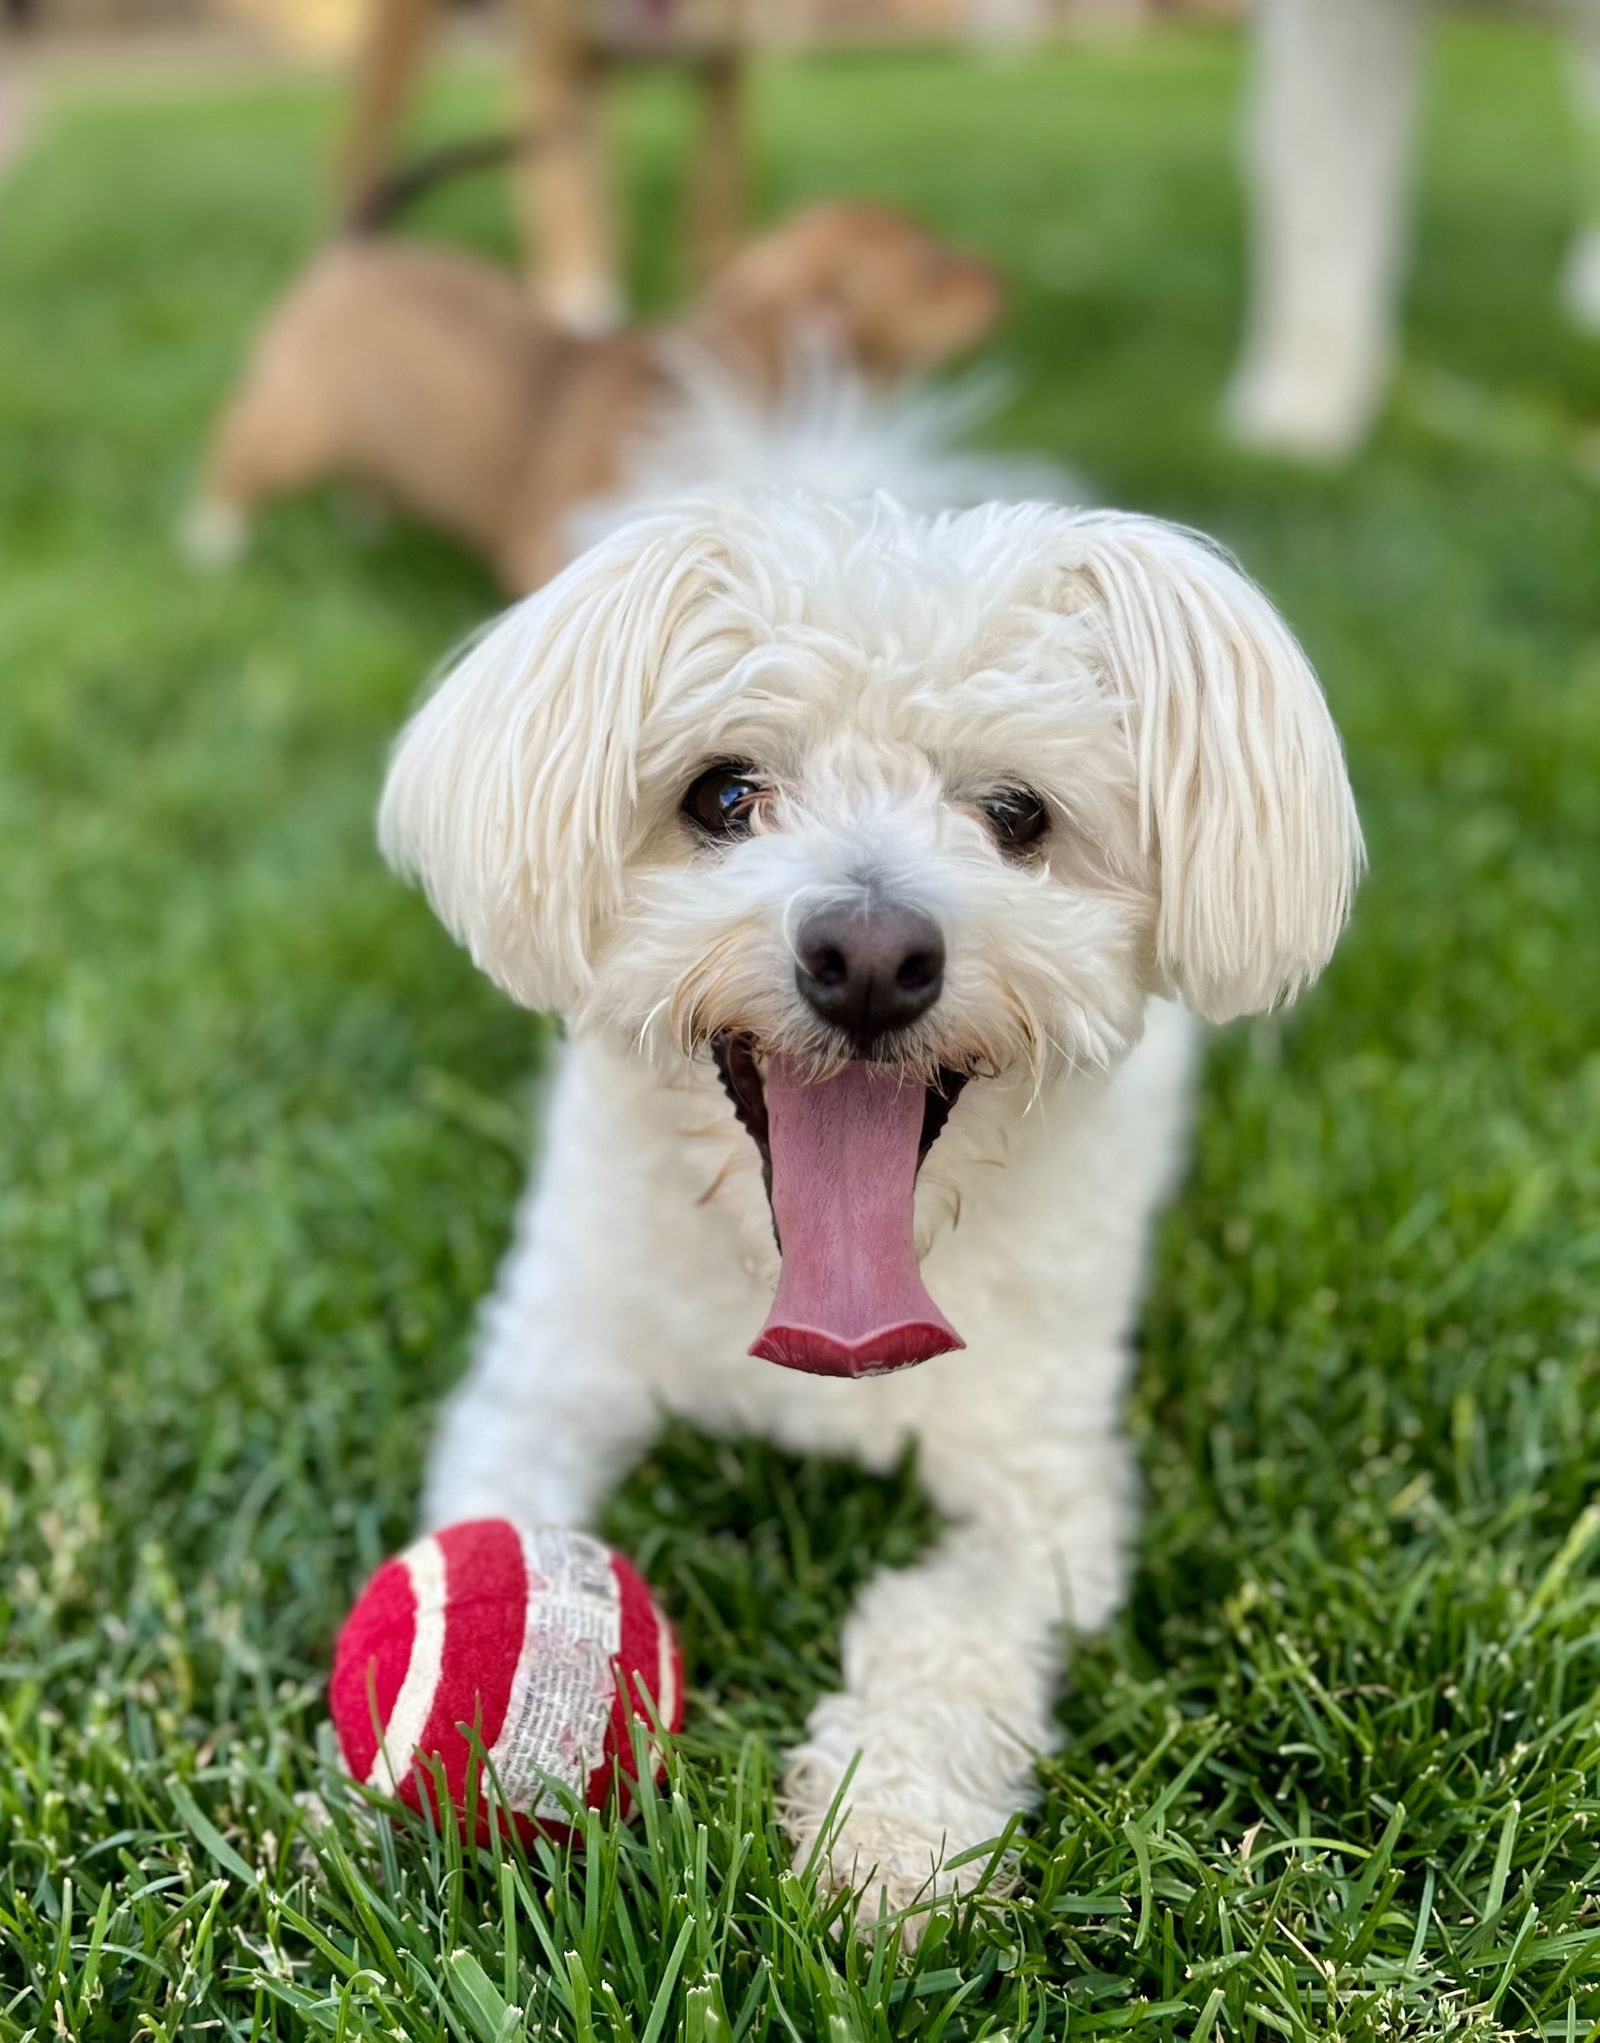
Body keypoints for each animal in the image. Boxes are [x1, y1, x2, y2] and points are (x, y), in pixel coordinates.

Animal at [187, 204, 1009, 596]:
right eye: (934, 268)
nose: (997, 276)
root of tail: (356, 243)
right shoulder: (551, 545)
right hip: (301, 424)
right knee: (235, 443)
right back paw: (215, 540)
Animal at [375, 486, 1365, 1920]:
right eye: (724, 794)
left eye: (1016, 813)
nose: (870, 954)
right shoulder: (546, 1381)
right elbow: (505, 1523)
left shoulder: (1041, 1500)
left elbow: (943, 1634)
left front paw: (892, 1839)